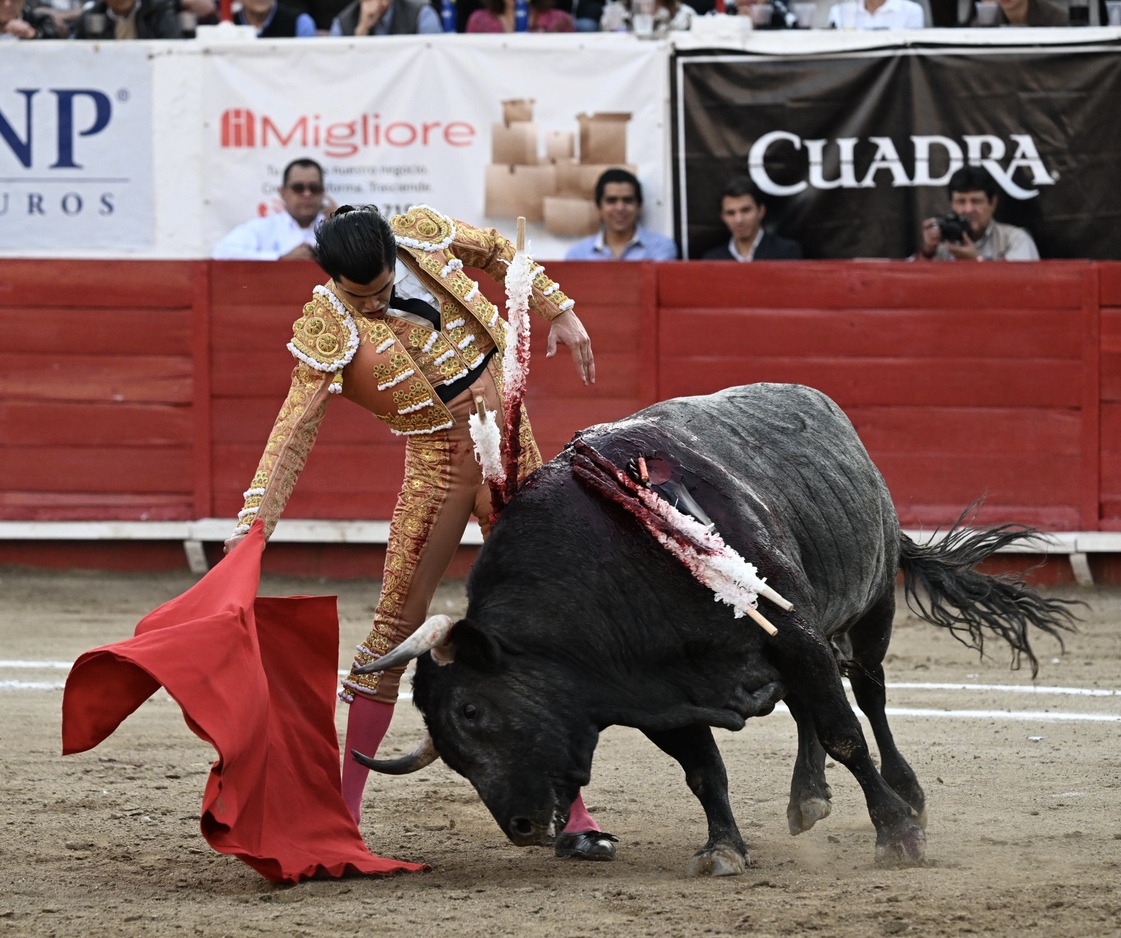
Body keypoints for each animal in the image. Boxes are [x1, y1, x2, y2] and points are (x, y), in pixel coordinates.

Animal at [353, 383, 1077, 876]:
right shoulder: (658, 693)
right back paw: (807, 798)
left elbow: (844, 732)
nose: (524, 825)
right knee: (806, 710)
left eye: (472, 711)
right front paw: (724, 847)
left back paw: (906, 794)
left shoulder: (791, 633)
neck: (608, 564)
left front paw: (897, 834)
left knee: (868, 697)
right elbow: (705, 771)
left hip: (870, 609)